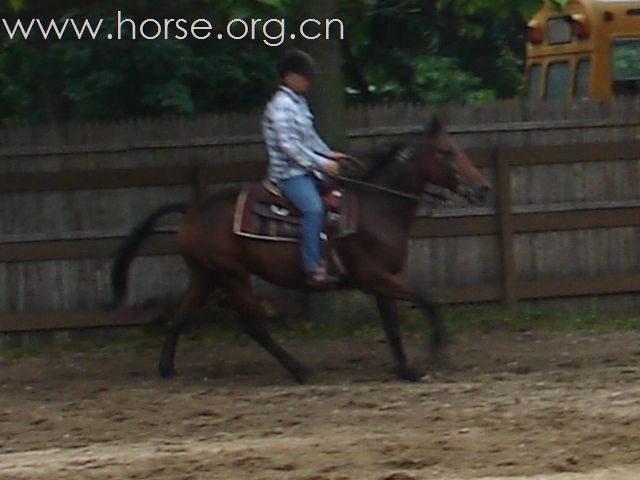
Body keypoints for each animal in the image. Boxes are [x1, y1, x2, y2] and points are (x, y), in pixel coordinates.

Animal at [109, 116, 490, 382]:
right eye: (446, 152)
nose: (482, 188)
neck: (376, 209)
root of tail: (191, 209)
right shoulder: (375, 277)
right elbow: (429, 301)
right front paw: (435, 352)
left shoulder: (383, 280)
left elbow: (393, 325)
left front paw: (406, 370)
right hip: (232, 275)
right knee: (253, 327)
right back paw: (300, 370)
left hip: (206, 275)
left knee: (179, 318)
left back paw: (166, 368)